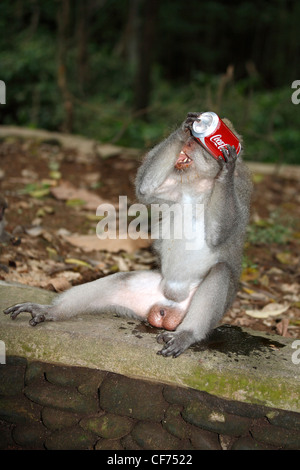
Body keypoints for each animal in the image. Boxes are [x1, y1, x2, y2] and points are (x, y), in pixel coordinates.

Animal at [3, 113, 252, 356]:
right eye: (192, 140)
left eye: (199, 145)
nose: (189, 142)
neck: (199, 183)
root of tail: (169, 307)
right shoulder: (174, 187)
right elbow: (145, 189)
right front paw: (183, 129)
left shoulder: (240, 193)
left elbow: (220, 234)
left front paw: (227, 167)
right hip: (151, 292)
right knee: (121, 280)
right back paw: (51, 310)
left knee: (220, 272)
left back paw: (187, 334)